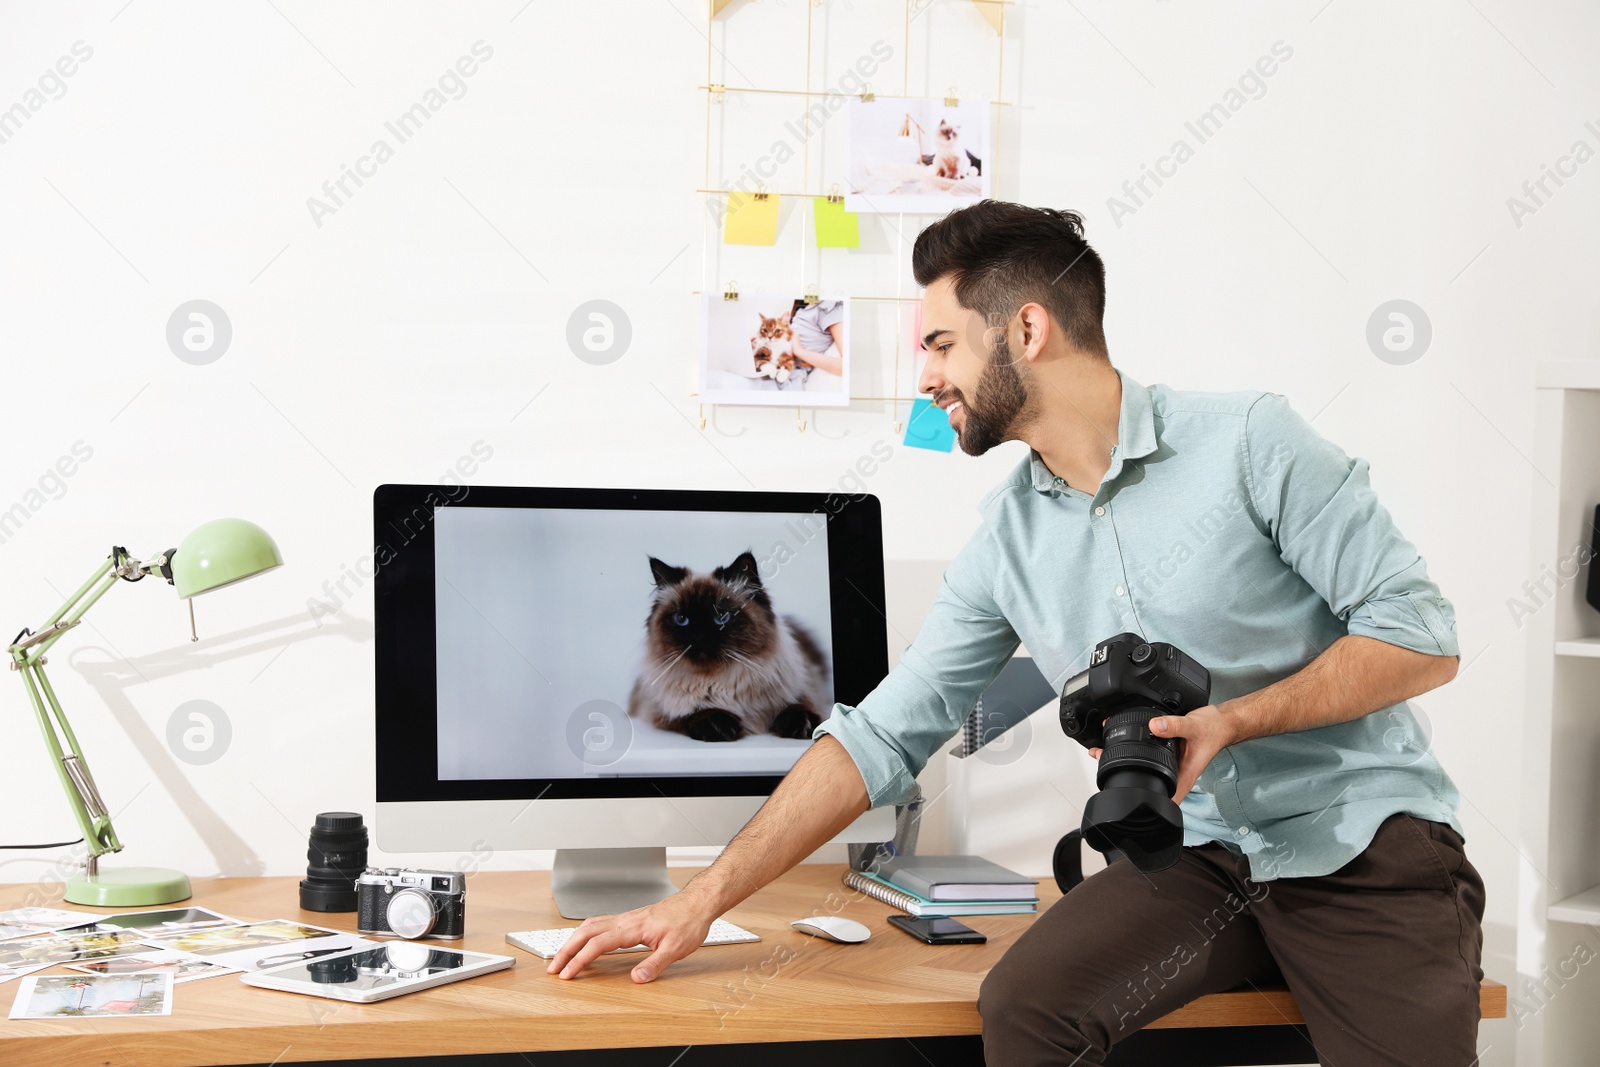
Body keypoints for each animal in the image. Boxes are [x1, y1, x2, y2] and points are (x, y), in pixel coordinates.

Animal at [620, 550, 832, 742]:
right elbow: (687, 714)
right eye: (681, 619)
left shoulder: (803, 691)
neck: (720, 683)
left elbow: (799, 706)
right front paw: (721, 727)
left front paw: (802, 725)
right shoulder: (656, 710)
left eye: (721, 616)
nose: (698, 636)